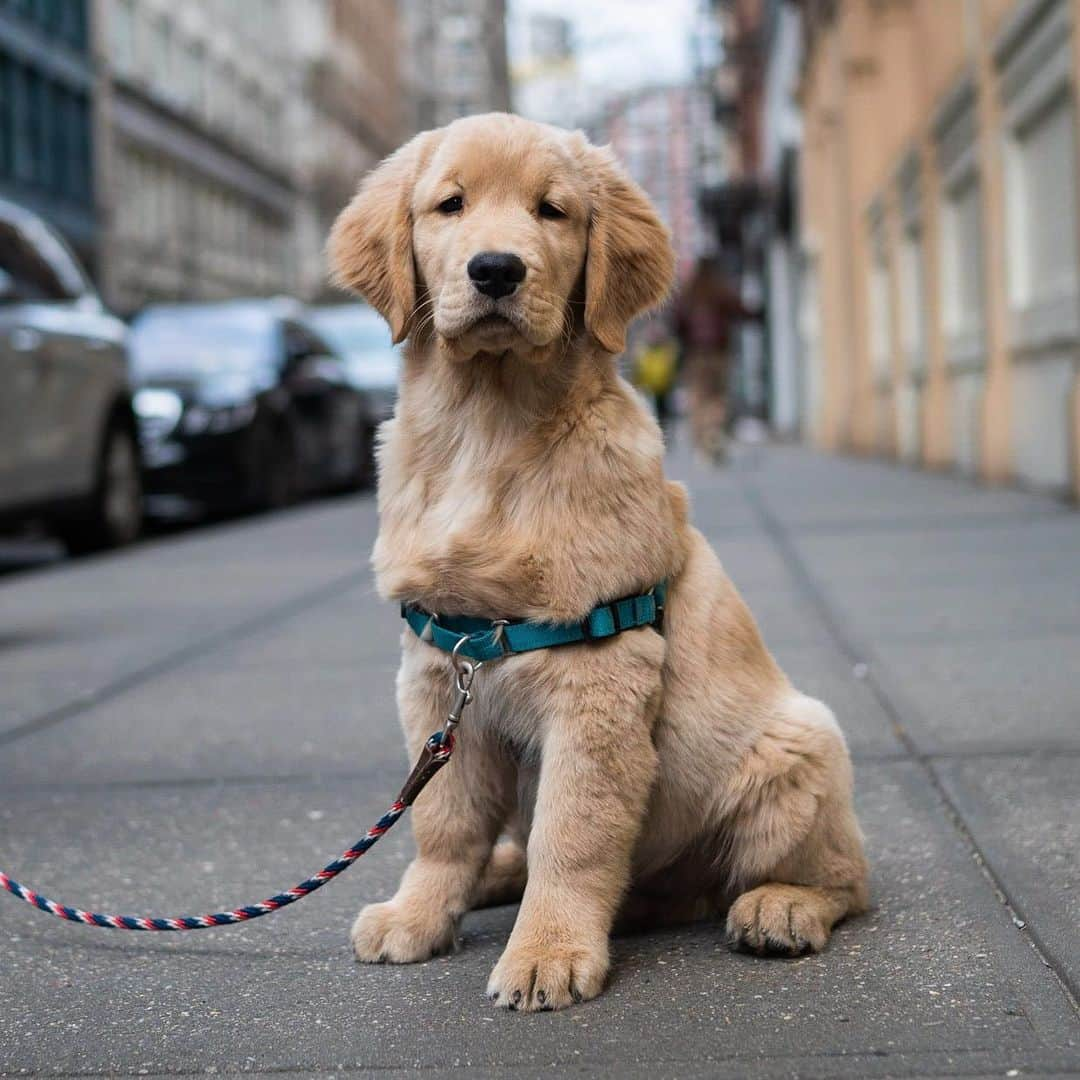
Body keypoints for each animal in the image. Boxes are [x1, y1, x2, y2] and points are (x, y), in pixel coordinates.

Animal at [328, 111, 868, 1010]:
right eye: (450, 205)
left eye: (552, 210)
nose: (496, 269)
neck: (489, 429)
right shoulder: (440, 671)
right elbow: (443, 821)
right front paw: (420, 913)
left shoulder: (597, 678)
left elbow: (572, 834)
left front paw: (546, 951)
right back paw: (500, 878)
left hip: (801, 744)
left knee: (846, 879)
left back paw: (780, 908)